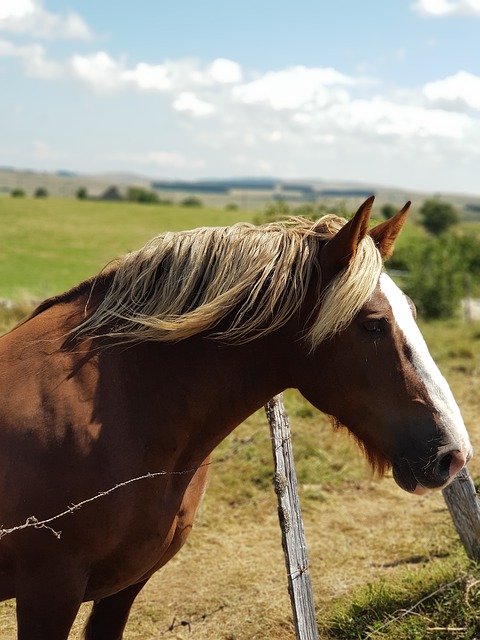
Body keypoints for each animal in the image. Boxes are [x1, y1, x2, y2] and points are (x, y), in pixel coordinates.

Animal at [0, 198, 472, 636]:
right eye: (373, 324)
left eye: (412, 312)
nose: (455, 454)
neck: (125, 406)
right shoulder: (50, 592)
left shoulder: (125, 586)